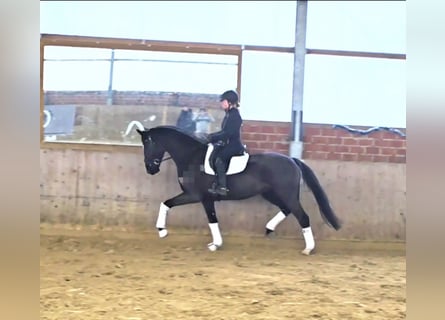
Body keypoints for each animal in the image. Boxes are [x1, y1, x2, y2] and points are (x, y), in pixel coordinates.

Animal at [137, 125, 342, 255]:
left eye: (148, 143)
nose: (150, 168)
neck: (192, 157)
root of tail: (292, 160)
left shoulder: (194, 195)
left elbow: (166, 203)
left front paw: (162, 231)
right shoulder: (206, 199)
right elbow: (212, 220)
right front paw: (215, 244)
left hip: (286, 194)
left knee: (302, 216)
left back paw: (308, 249)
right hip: (271, 194)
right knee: (287, 210)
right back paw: (269, 229)